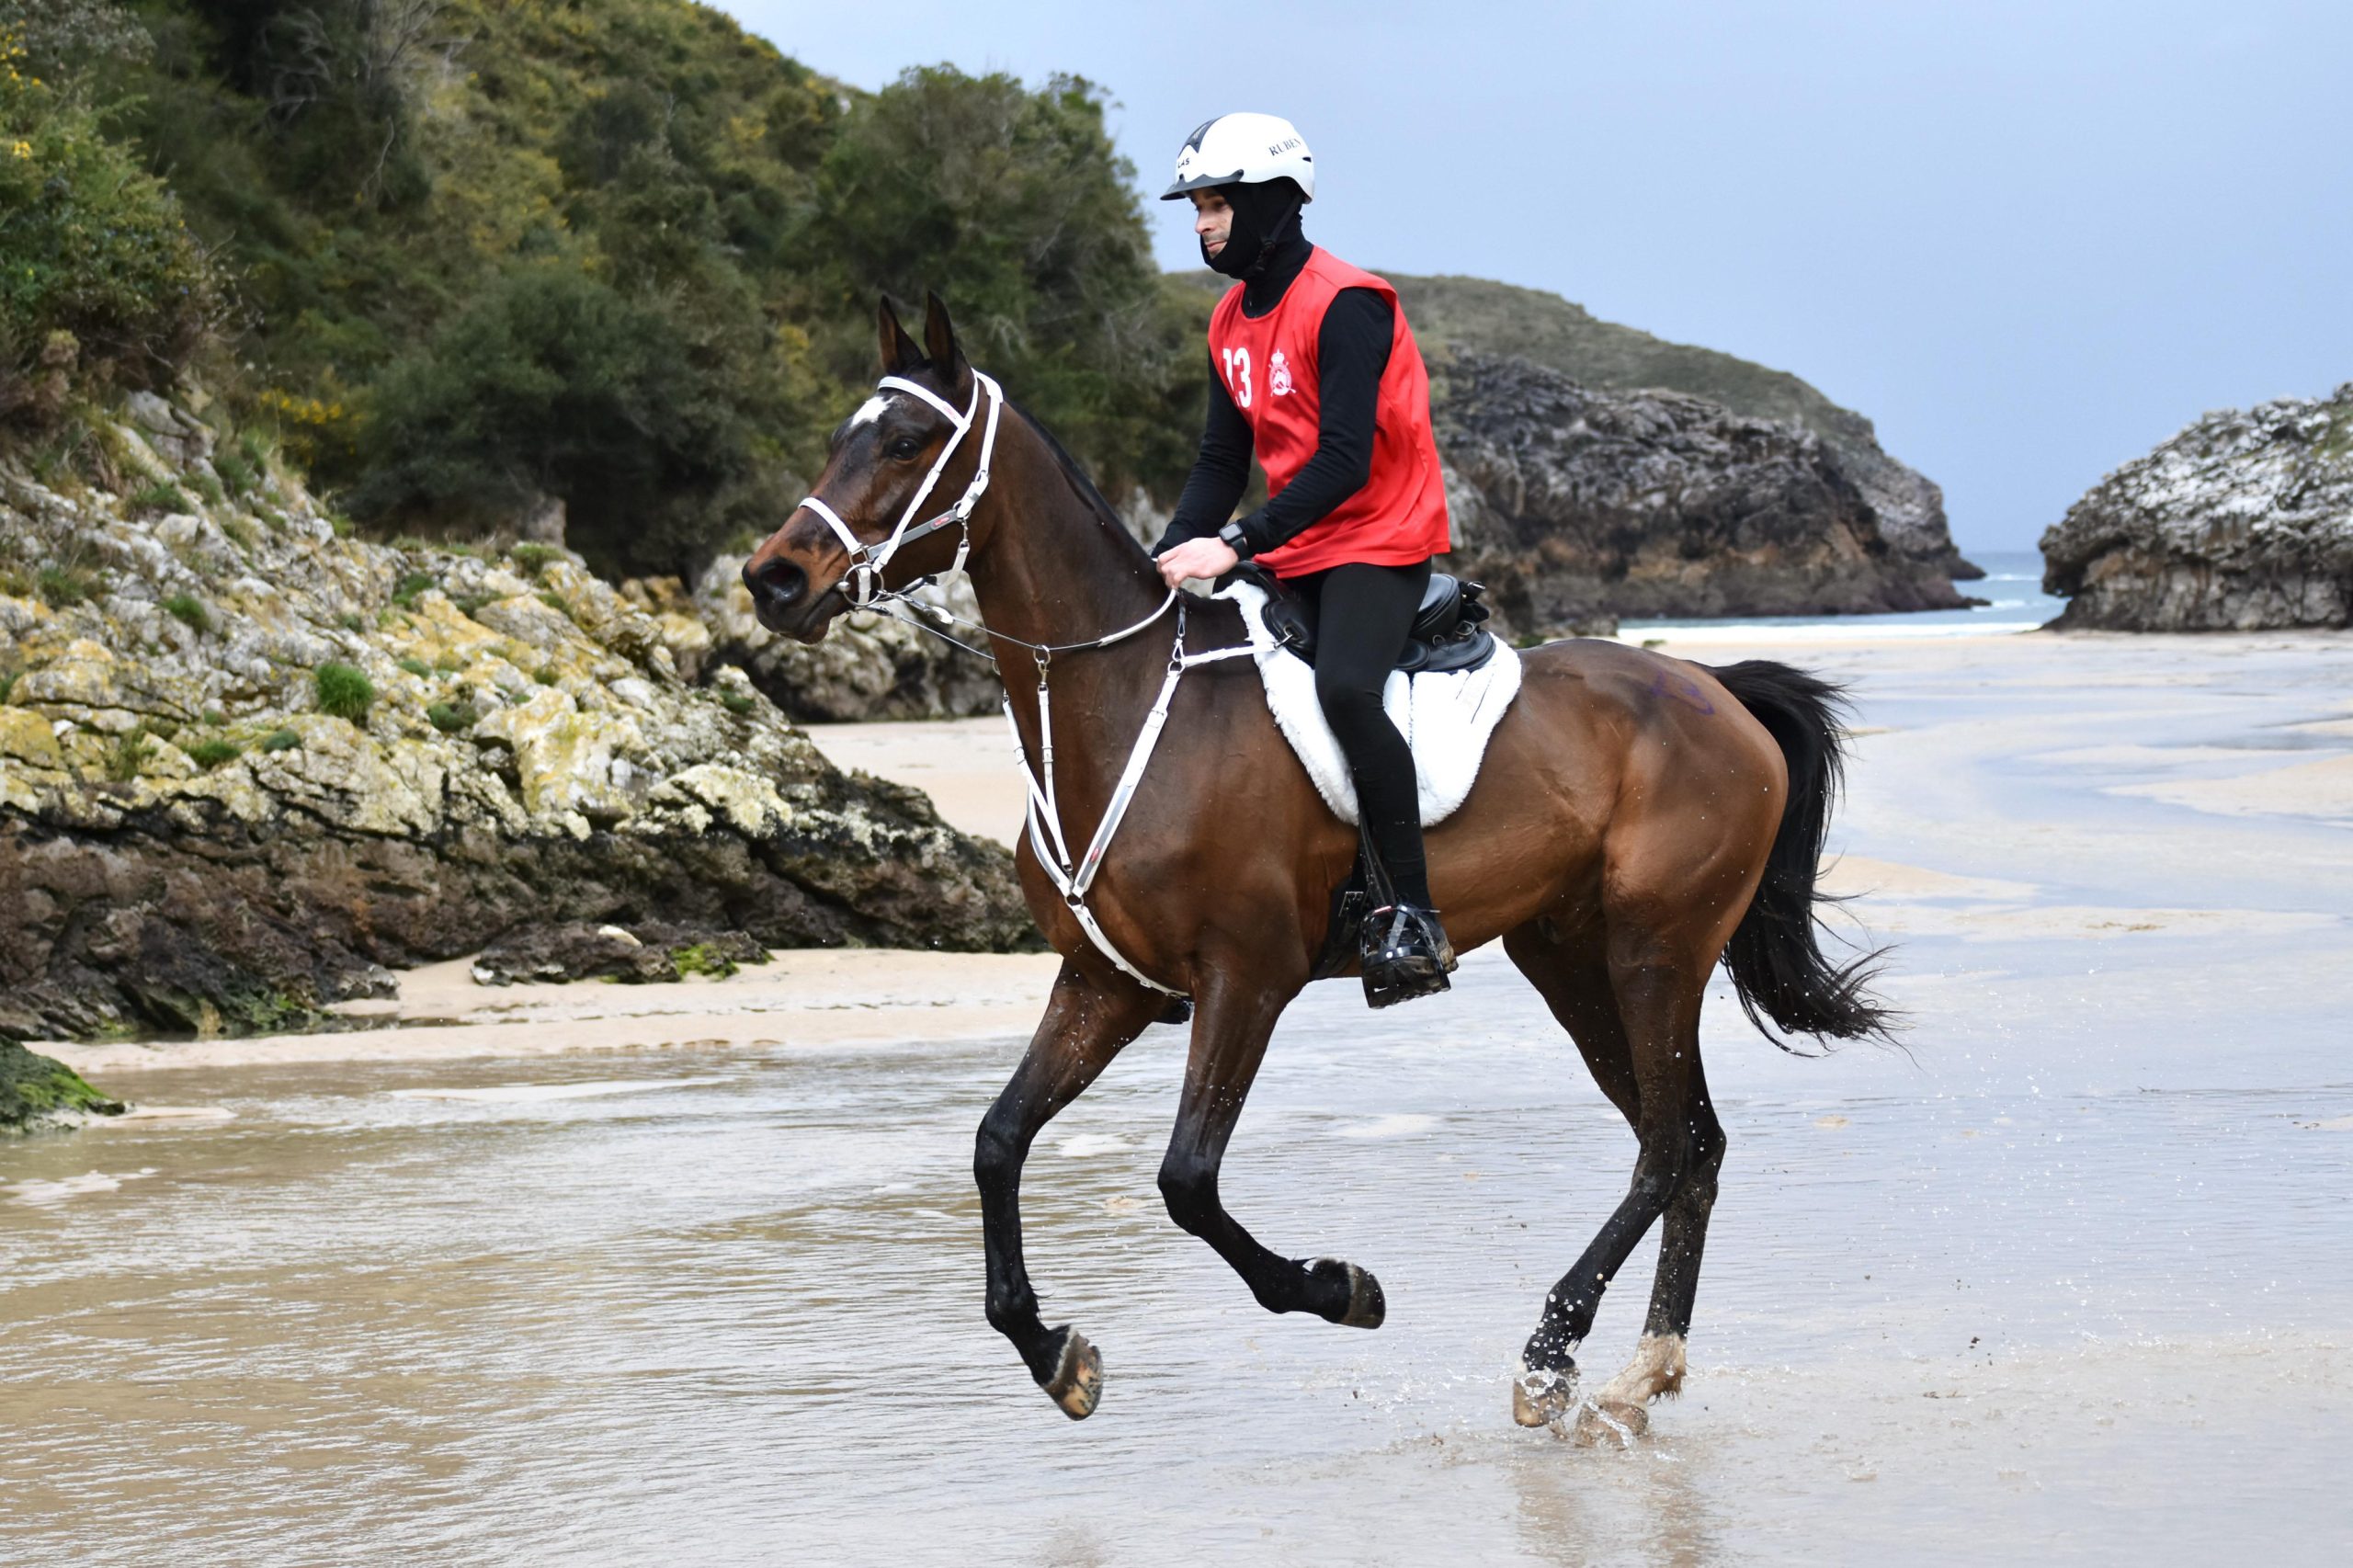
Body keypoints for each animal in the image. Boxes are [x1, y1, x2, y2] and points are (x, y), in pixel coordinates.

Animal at [748, 292, 1892, 1431]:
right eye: (843, 434)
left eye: (906, 440)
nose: (773, 577)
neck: (1120, 695)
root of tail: (1715, 689)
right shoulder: (1104, 985)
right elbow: (996, 1142)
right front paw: (1051, 1349)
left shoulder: (1245, 978)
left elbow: (1186, 1180)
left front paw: (1341, 1288)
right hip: (1569, 956)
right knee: (1692, 1140)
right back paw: (1640, 1366)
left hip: (1656, 950)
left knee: (1665, 1143)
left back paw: (1549, 1351)